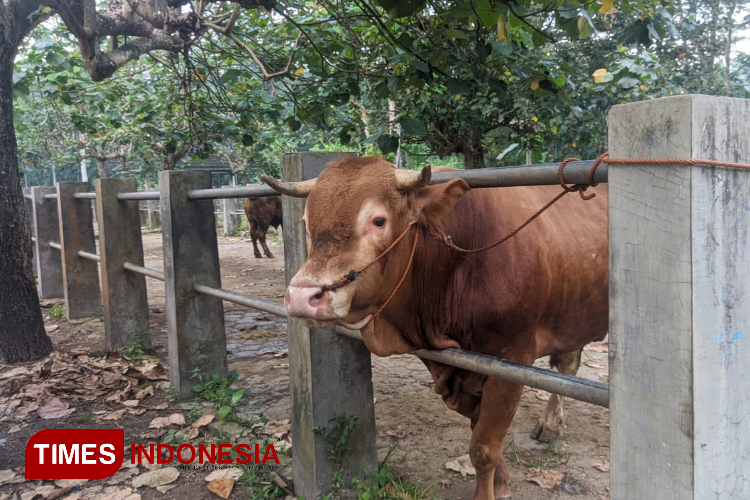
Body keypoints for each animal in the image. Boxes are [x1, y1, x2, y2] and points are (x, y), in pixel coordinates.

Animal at [262, 157, 608, 500]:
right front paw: (502, 481)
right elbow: (478, 427)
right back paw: (551, 425)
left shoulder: (512, 361)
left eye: (378, 221)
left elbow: (483, 448)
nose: (303, 297)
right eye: (306, 222)